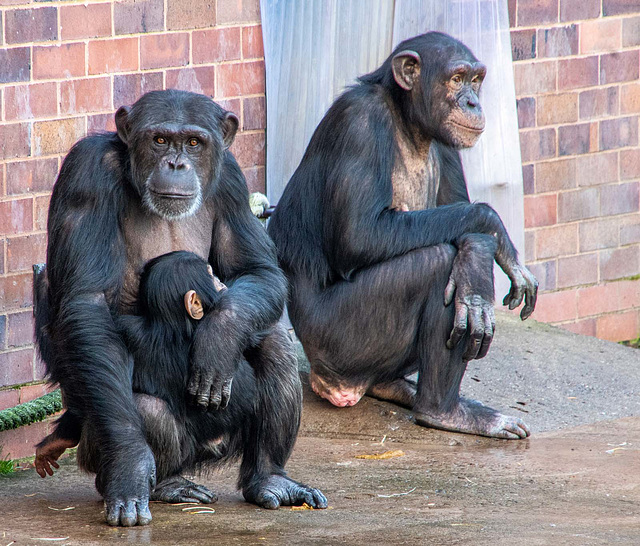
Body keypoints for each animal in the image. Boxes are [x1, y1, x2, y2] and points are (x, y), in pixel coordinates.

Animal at [32, 88, 328, 524]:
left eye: (193, 142)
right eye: (159, 139)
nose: (176, 163)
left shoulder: (232, 180)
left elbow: (257, 270)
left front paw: (218, 338)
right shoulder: (86, 174)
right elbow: (89, 303)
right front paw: (131, 465)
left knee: (274, 340)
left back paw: (270, 478)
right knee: (143, 408)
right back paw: (163, 484)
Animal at [268, 30, 536, 438]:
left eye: (476, 80)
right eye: (456, 79)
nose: (473, 101)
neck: (408, 123)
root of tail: (329, 382)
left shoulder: (449, 144)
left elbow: (462, 217)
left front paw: (477, 263)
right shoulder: (359, 123)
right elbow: (360, 235)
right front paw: (492, 227)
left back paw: (397, 387)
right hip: (339, 342)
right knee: (436, 261)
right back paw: (443, 412)